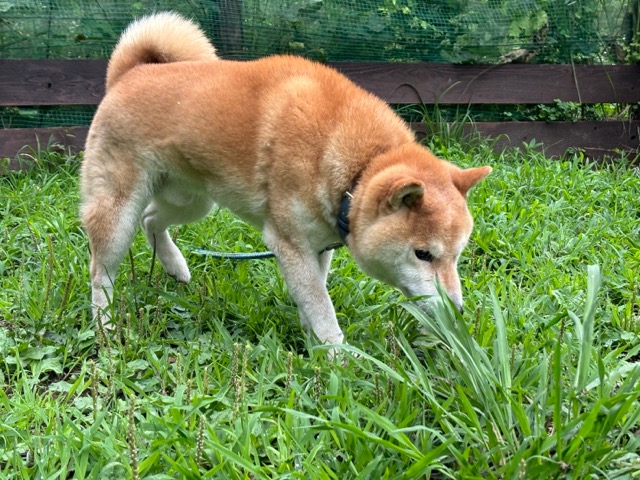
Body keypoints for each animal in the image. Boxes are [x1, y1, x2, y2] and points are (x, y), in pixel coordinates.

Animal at [80, 12, 491, 349]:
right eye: (423, 254)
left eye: (457, 256)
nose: (457, 311)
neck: (355, 169)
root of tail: (129, 74)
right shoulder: (290, 244)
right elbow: (321, 306)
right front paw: (338, 360)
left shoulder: (318, 246)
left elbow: (313, 298)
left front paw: (313, 346)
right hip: (119, 212)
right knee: (101, 271)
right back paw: (106, 328)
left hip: (194, 201)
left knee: (151, 219)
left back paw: (174, 265)